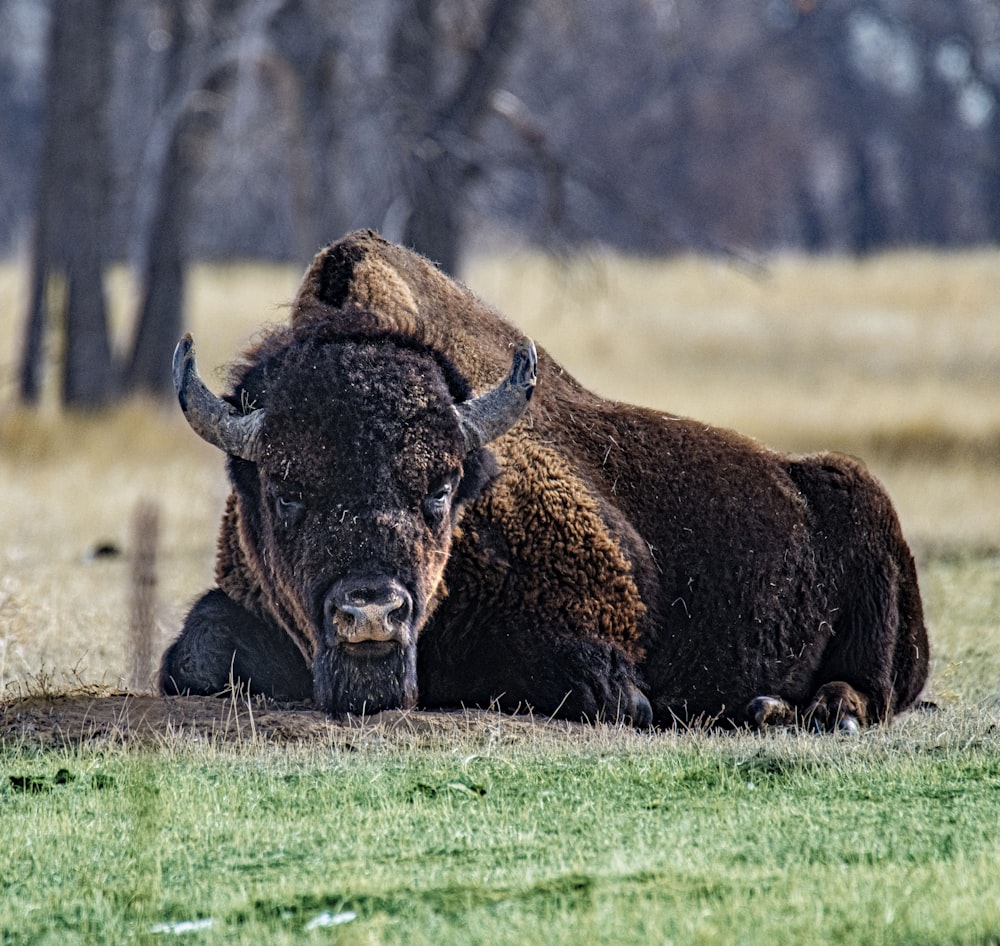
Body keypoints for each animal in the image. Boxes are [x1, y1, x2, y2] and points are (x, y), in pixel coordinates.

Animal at [160, 230, 932, 732]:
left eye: (440, 488)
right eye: (285, 491)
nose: (372, 615)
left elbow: (597, 688)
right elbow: (189, 659)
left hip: (877, 583)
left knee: (873, 687)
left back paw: (809, 711)